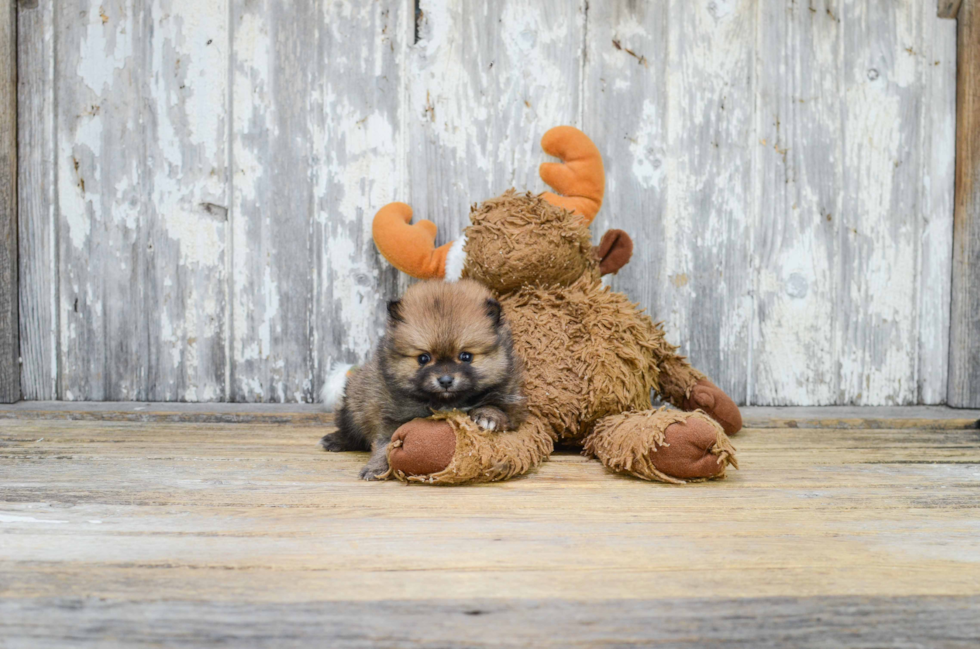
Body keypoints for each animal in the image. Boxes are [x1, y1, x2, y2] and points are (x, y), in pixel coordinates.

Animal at [322, 280, 524, 480]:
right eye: (423, 358)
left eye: (466, 356)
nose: (445, 380)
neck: (447, 402)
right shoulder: (390, 417)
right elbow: (386, 444)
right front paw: (376, 467)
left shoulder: (512, 403)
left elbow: (498, 407)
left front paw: (488, 415)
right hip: (354, 404)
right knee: (350, 429)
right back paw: (335, 440)